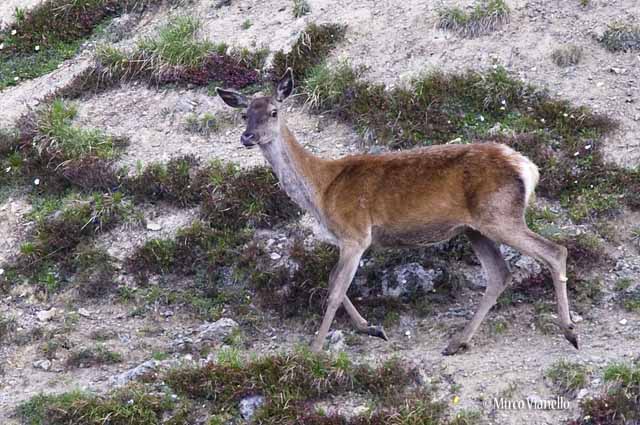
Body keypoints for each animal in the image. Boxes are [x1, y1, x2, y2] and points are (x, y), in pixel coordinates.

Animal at [216, 68, 577, 355]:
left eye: (274, 111)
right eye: (244, 113)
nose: (247, 136)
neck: (321, 190)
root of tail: (527, 168)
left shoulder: (355, 233)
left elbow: (334, 289)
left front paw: (315, 348)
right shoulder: (348, 239)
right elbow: (334, 282)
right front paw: (371, 328)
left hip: (499, 215)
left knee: (555, 250)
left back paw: (570, 331)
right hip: (475, 228)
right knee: (500, 274)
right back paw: (457, 341)